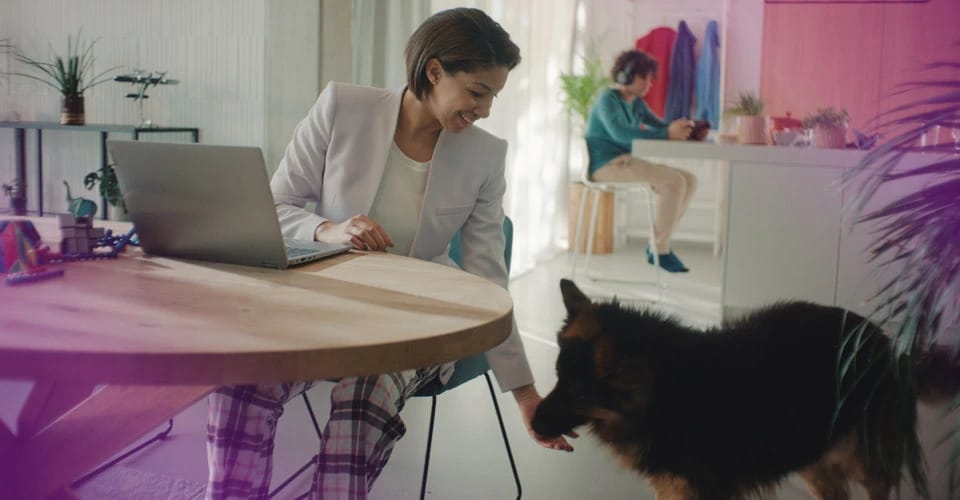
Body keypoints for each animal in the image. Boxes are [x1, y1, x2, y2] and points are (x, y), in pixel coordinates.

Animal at [532, 280, 952, 500]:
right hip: (812, 454)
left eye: (578, 393)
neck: (667, 392)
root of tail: (886, 341)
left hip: (866, 461)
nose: (533, 424)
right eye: (557, 377)